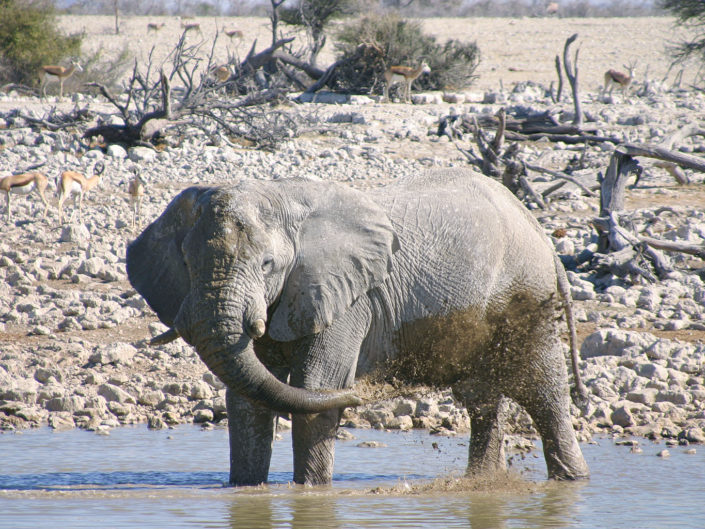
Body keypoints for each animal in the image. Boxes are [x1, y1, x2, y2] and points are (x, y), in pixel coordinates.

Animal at [127, 168, 589, 486]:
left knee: (542, 390)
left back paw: (571, 480)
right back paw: (481, 483)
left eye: (267, 264)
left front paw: (310, 492)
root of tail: (539, 229)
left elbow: (316, 386)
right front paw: (244, 491)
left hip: (527, 296)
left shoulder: (349, 298)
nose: (368, 388)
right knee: (481, 398)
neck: (283, 196)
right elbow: (248, 396)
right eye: (187, 263)